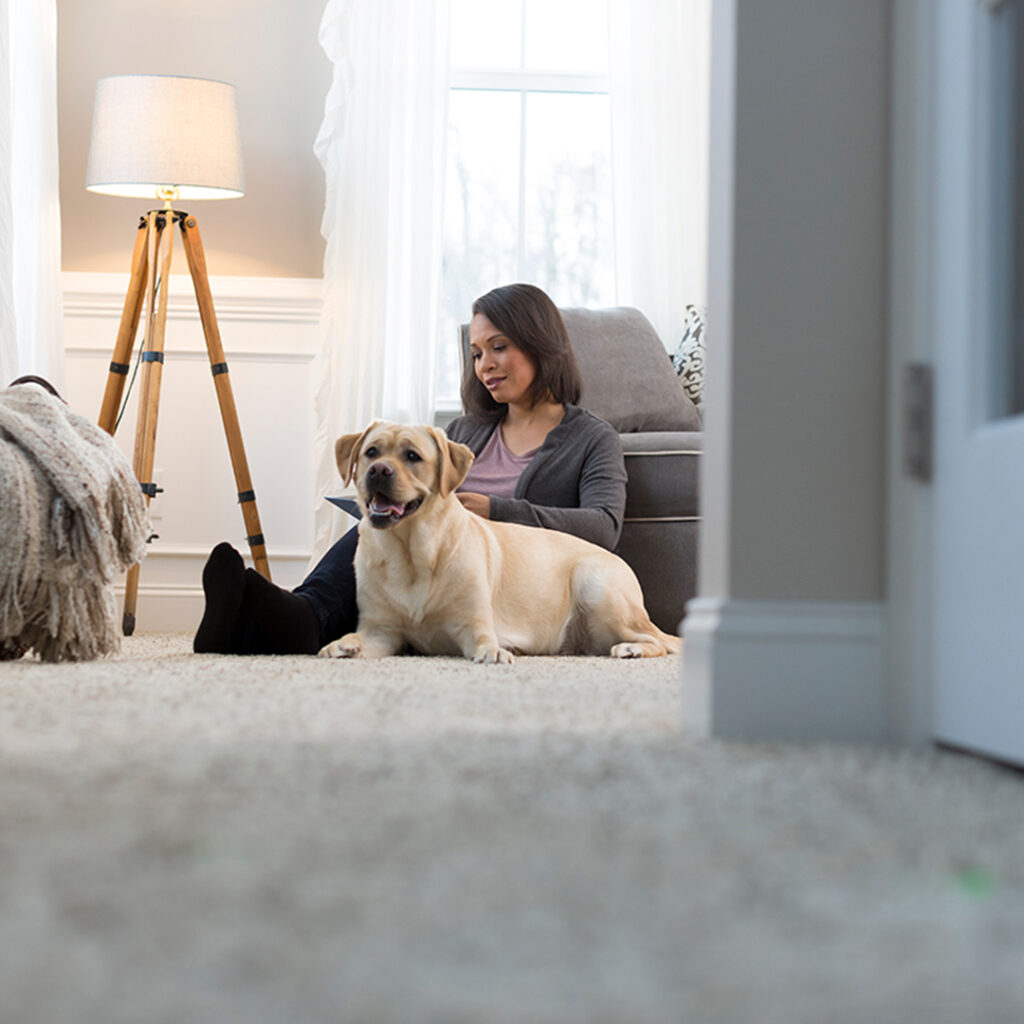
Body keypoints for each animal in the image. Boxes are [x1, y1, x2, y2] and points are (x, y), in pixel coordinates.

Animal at [319, 417, 679, 663]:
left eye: (412, 456)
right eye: (371, 452)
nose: (378, 471)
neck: (411, 554)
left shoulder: (471, 622)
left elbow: (483, 640)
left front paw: (493, 652)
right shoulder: (382, 631)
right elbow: (362, 638)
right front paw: (342, 644)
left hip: (599, 590)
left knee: (659, 642)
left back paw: (633, 648)